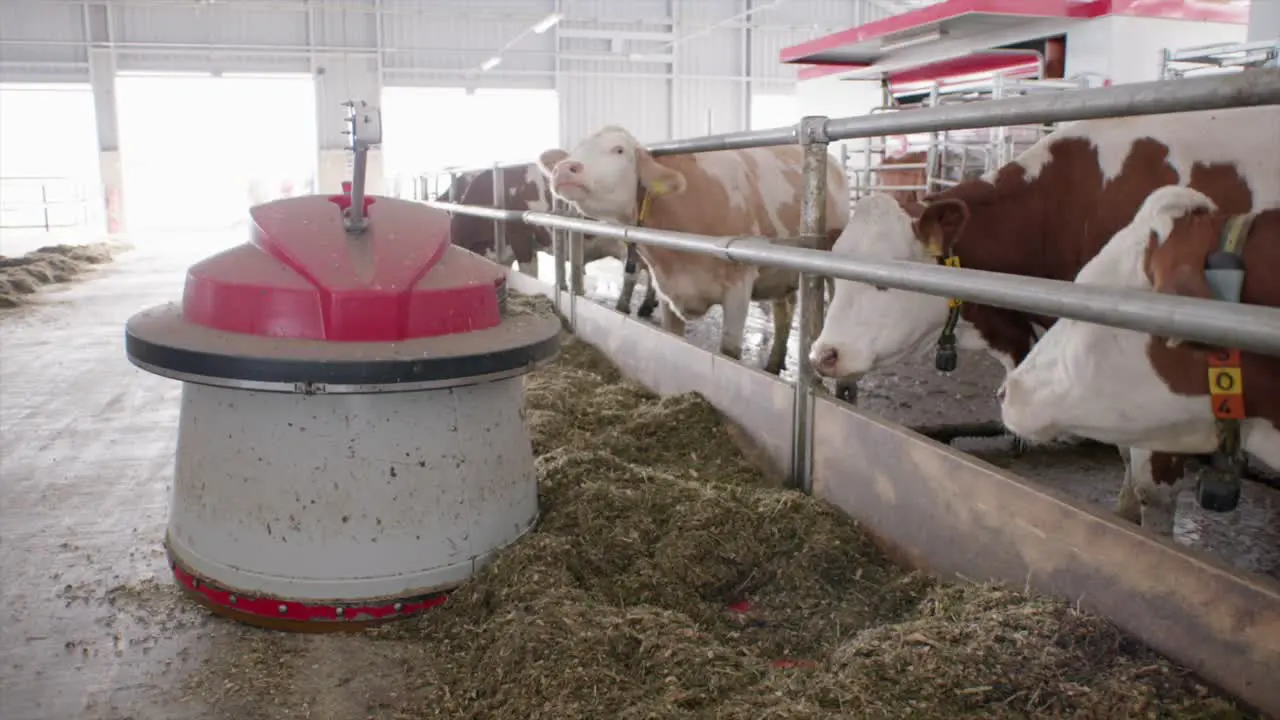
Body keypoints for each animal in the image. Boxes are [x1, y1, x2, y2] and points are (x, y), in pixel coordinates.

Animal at [445, 165, 655, 316]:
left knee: (632, 273)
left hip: (628, 241)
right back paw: (647, 305)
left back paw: (623, 306)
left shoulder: (521, 239)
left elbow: (529, 273)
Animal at [537, 124, 849, 371]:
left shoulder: (739, 286)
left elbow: (729, 352)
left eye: (619, 150)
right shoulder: (667, 289)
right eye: (576, 150)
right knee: (784, 313)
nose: (564, 168)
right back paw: (773, 364)